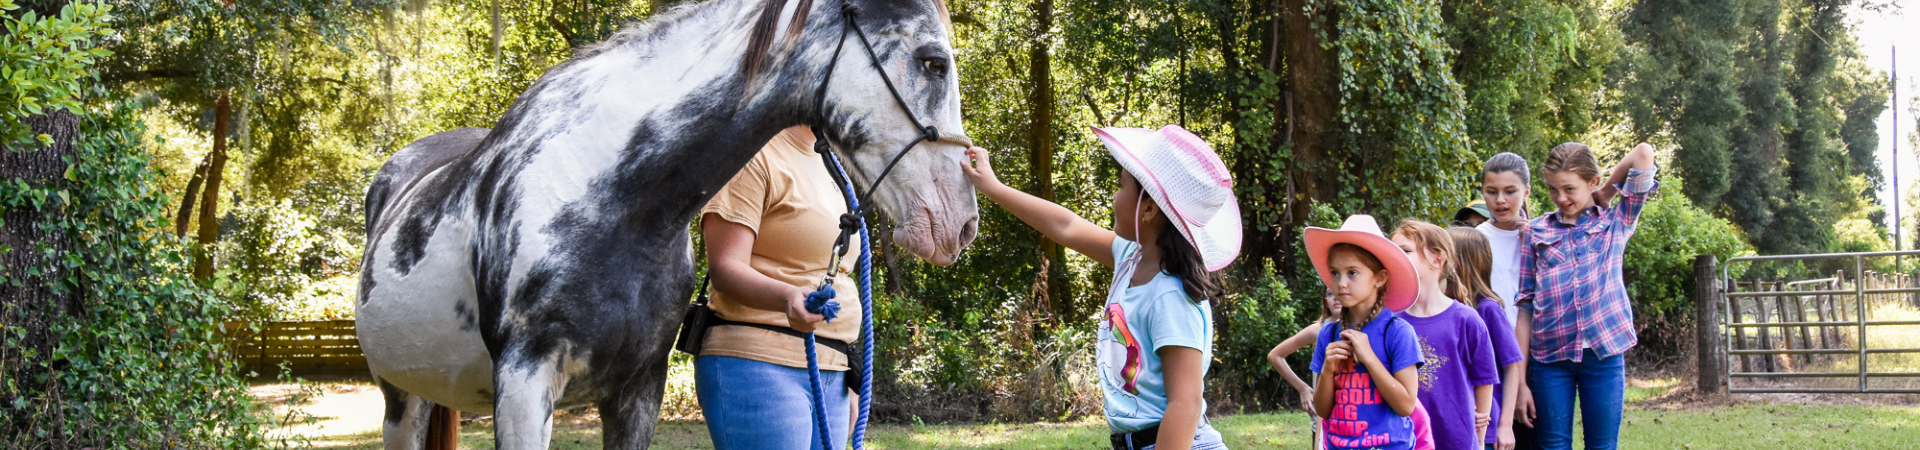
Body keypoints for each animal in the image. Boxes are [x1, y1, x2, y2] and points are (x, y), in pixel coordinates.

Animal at [353, 0, 975, 446]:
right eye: (933, 61)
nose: (962, 225)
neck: (613, 202)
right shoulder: (524, 387)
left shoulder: (639, 390)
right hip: (399, 400)